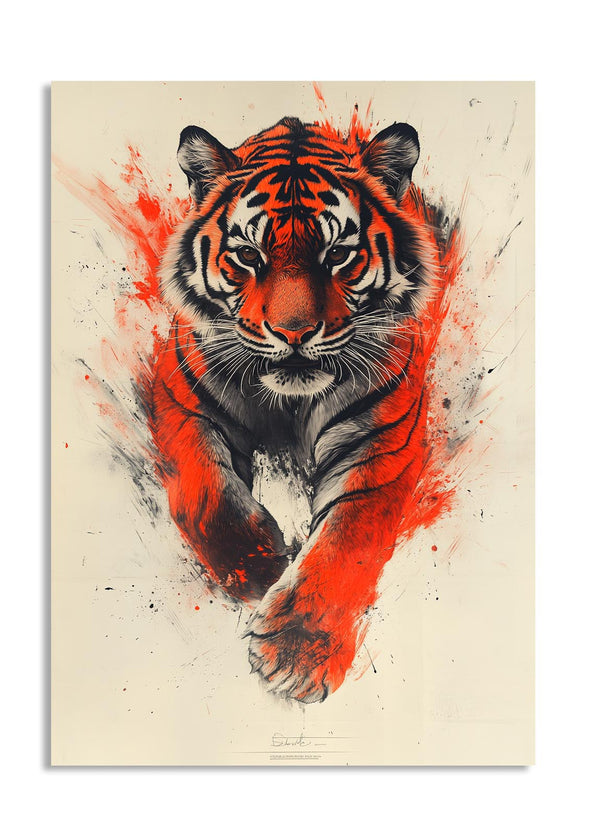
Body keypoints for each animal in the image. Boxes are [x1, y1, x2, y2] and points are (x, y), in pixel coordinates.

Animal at [145, 115, 452, 703]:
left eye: (337, 255)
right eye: (248, 256)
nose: (294, 333)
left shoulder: (379, 446)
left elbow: (345, 542)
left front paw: (295, 654)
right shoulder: (182, 401)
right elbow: (204, 492)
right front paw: (257, 565)